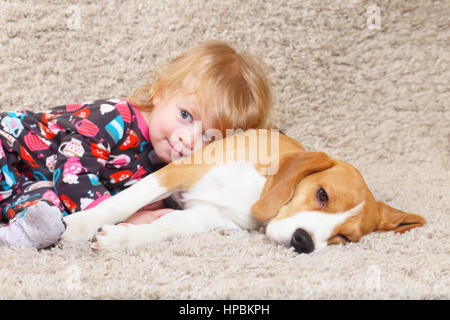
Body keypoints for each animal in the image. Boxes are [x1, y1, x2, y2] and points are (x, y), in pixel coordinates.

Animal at [62, 129, 426, 252]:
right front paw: (79, 227)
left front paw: (122, 238)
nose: (304, 242)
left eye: (345, 238)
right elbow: (125, 201)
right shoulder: (182, 170)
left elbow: (165, 228)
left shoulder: (206, 217)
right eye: (322, 194)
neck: (258, 191)